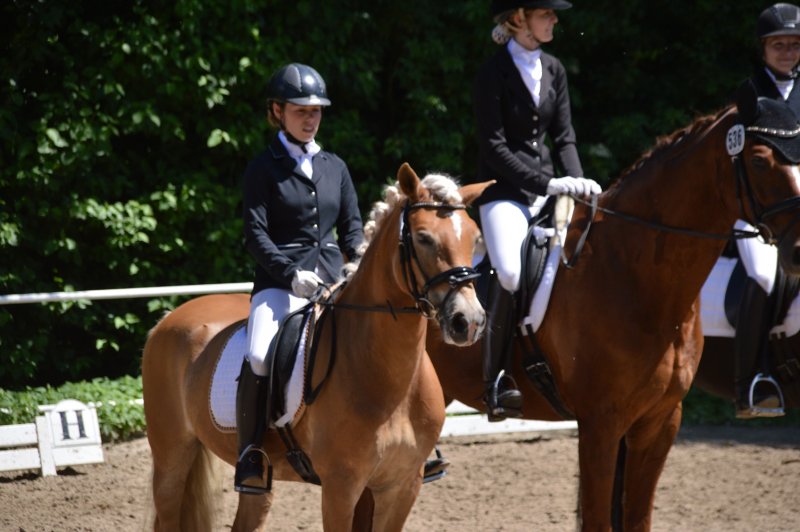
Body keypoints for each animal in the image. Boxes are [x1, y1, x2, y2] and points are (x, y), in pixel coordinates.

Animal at [141, 163, 492, 531]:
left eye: (473, 237)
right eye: (423, 237)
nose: (468, 321)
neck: (387, 378)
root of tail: (168, 319)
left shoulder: (402, 485)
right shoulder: (341, 487)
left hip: (256, 483)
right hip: (171, 458)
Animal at [426, 88, 800, 531]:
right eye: (759, 160)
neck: (638, 280)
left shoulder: (659, 421)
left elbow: (636, 518)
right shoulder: (600, 424)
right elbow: (598, 518)